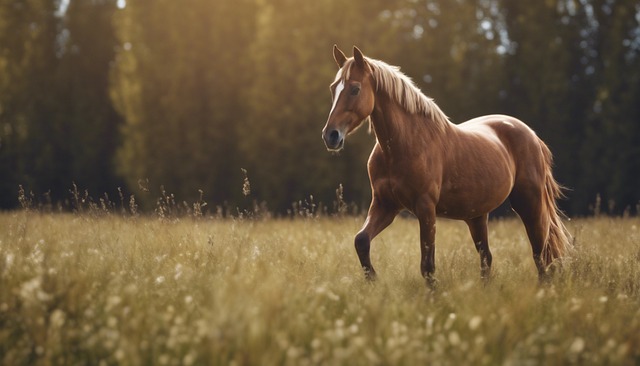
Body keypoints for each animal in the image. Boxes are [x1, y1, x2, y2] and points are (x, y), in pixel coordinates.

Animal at [320, 45, 568, 286]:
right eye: (333, 88)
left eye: (354, 89)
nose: (330, 135)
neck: (404, 145)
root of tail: (532, 135)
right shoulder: (385, 205)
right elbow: (361, 240)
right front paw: (372, 280)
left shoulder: (425, 208)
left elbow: (427, 266)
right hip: (477, 216)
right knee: (487, 258)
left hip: (529, 204)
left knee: (539, 255)